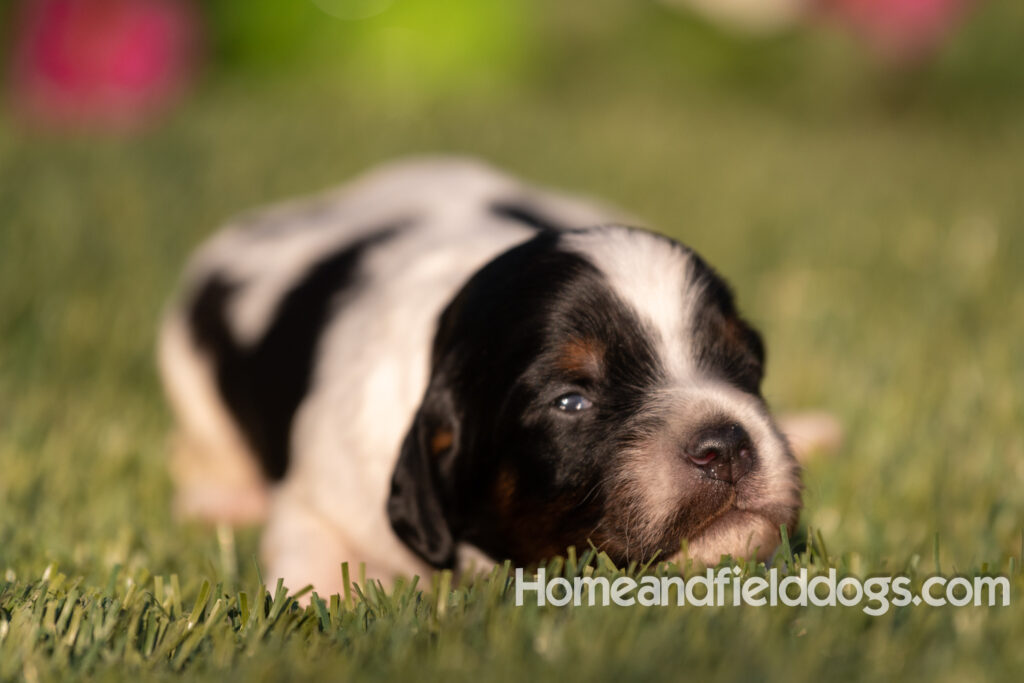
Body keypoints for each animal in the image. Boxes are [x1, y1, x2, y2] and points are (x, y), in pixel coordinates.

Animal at [157, 156, 798, 593]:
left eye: (742, 363)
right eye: (571, 402)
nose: (726, 447)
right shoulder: (318, 496)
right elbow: (311, 560)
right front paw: (314, 606)